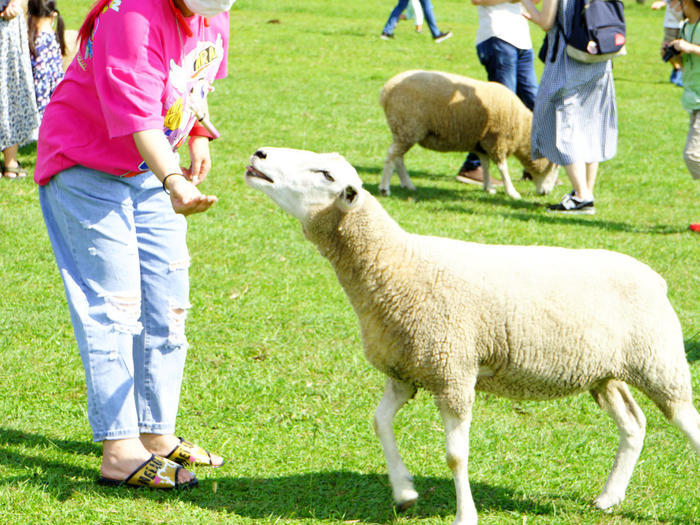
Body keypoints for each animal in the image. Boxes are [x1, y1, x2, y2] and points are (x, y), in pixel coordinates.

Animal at [243, 146, 696, 524]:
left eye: (325, 174)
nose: (260, 154)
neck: (397, 265)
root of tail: (655, 277)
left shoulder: (454, 373)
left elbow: (455, 456)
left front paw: (465, 516)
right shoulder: (405, 372)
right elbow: (379, 422)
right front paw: (404, 491)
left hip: (660, 363)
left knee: (687, 420)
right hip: (604, 373)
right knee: (634, 424)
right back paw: (608, 498)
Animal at [378, 69, 556, 199]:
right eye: (553, 166)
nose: (546, 193)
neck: (522, 131)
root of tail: (386, 90)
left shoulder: (482, 143)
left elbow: (486, 165)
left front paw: (488, 187)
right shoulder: (498, 140)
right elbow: (502, 168)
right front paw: (512, 192)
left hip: (403, 130)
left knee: (398, 158)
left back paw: (407, 184)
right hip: (408, 127)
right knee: (392, 155)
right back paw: (385, 188)